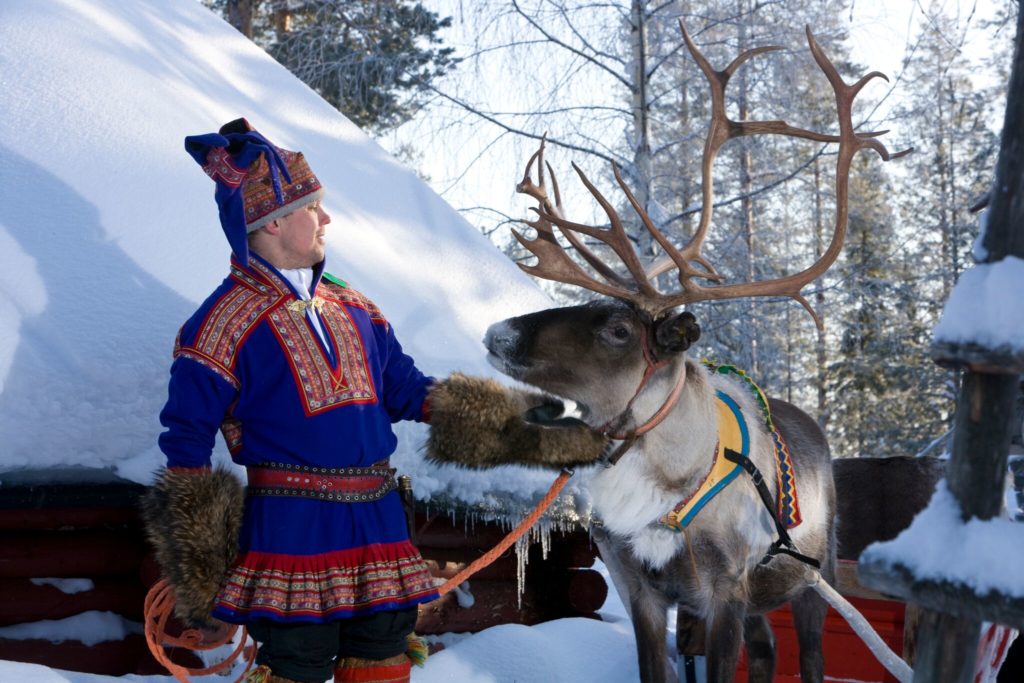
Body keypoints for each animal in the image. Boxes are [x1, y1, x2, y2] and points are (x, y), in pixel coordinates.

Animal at [473, 22, 909, 683]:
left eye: (619, 330)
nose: (497, 334)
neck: (662, 483)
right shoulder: (639, 588)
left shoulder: (724, 590)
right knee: (767, 649)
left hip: (815, 574)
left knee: (806, 653)